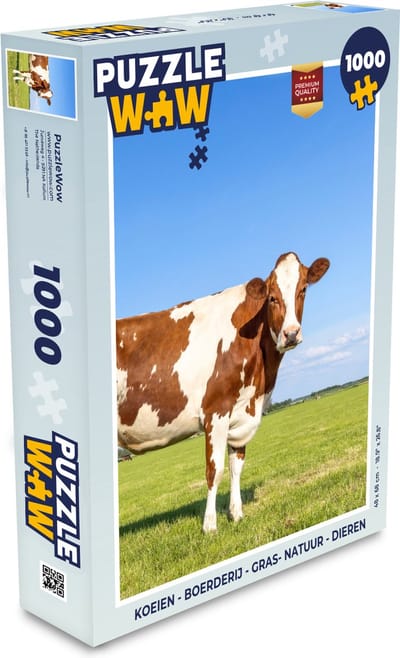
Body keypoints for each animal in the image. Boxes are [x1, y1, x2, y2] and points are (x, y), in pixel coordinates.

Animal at [117, 252, 329, 532]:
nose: (291, 334)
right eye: (272, 297)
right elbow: (214, 471)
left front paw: (236, 513)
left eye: (303, 289)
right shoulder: (215, 411)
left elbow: (236, 466)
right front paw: (209, 525)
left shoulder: (242, 414)